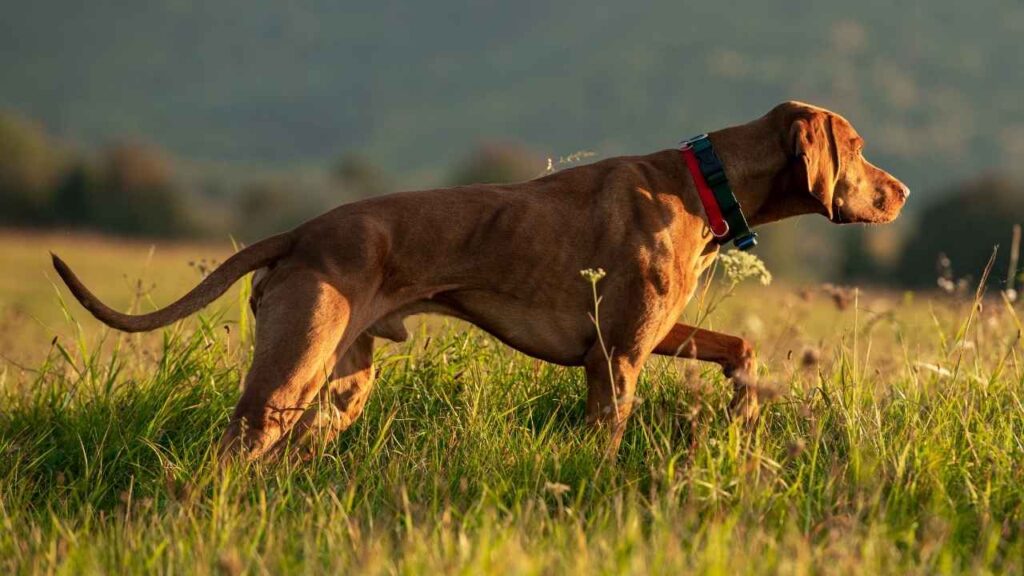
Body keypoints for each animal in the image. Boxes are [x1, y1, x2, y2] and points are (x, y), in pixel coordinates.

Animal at [51, 99, 909, 457]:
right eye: (860, 148)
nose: (900, 192)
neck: (705, 178)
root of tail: (302, 230)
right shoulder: (617, 357)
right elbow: (606, 442)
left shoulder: (651, 334)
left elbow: (742, 350)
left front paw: (744, 412)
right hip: (289, 375)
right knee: (228, 453)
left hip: (341, 386)